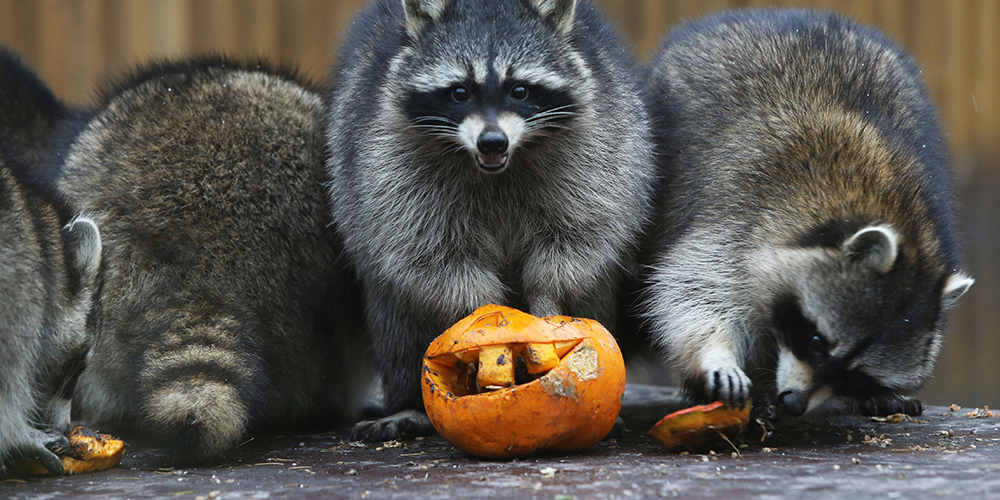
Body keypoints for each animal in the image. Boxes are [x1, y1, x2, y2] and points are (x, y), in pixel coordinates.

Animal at [326, 0, 656, 438]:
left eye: (520, 90)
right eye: (459, 92)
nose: (492, 141)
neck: (497, 165)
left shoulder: (601, 142)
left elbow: (579, 237)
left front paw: (546, 296)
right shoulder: (386, 158)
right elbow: (428, 255)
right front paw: (483, 311)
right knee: (398, 321)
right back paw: (407, 401)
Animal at [640, 9, 976, 418]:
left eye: (855, 377)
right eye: (816, 340)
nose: (794, 403)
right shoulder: (743, 213)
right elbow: (691, 290)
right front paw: (715, 353)